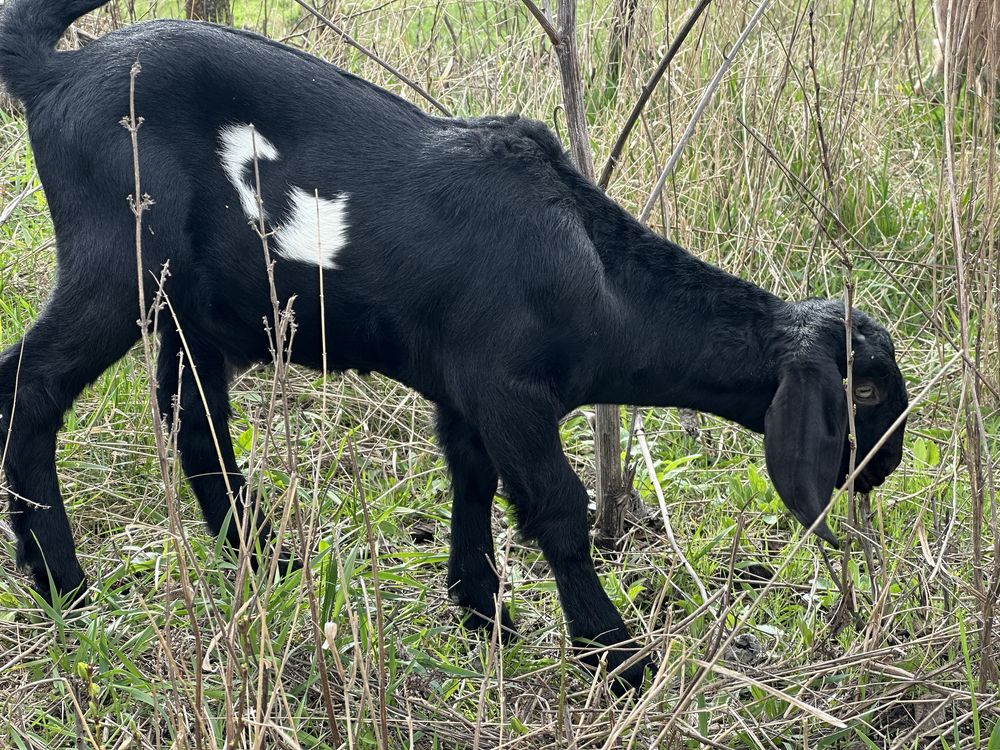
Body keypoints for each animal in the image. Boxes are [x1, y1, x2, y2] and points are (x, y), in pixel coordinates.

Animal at [0, 0, 908, 696]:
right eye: (863, 393)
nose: (887, 465)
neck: (591, 272)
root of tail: (56, 74)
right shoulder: (508, 388)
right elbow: (557, 506)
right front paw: (617, 660)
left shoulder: (465, 390)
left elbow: (473, 482)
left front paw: (483, 612)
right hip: (121, 255)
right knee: (31, 384)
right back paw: (60, 578)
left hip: (194, 306)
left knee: (194, 424)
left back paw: (272, 564)